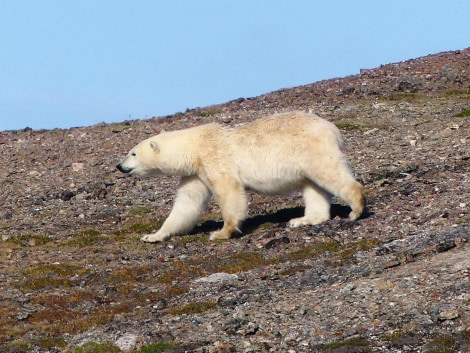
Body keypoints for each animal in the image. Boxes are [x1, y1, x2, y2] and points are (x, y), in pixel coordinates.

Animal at [116, 111, 364, 241]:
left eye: (133, 153)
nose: (119, 166)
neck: (194, 147)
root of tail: (332, 128)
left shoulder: (215, 158)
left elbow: (229, 192)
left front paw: (221, 232)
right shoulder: (196, 173)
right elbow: (187, 203)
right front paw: (153, 236)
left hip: (311, 149)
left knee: (329, 173)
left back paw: (356, 208)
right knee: (313, 187)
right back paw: (302, 220)